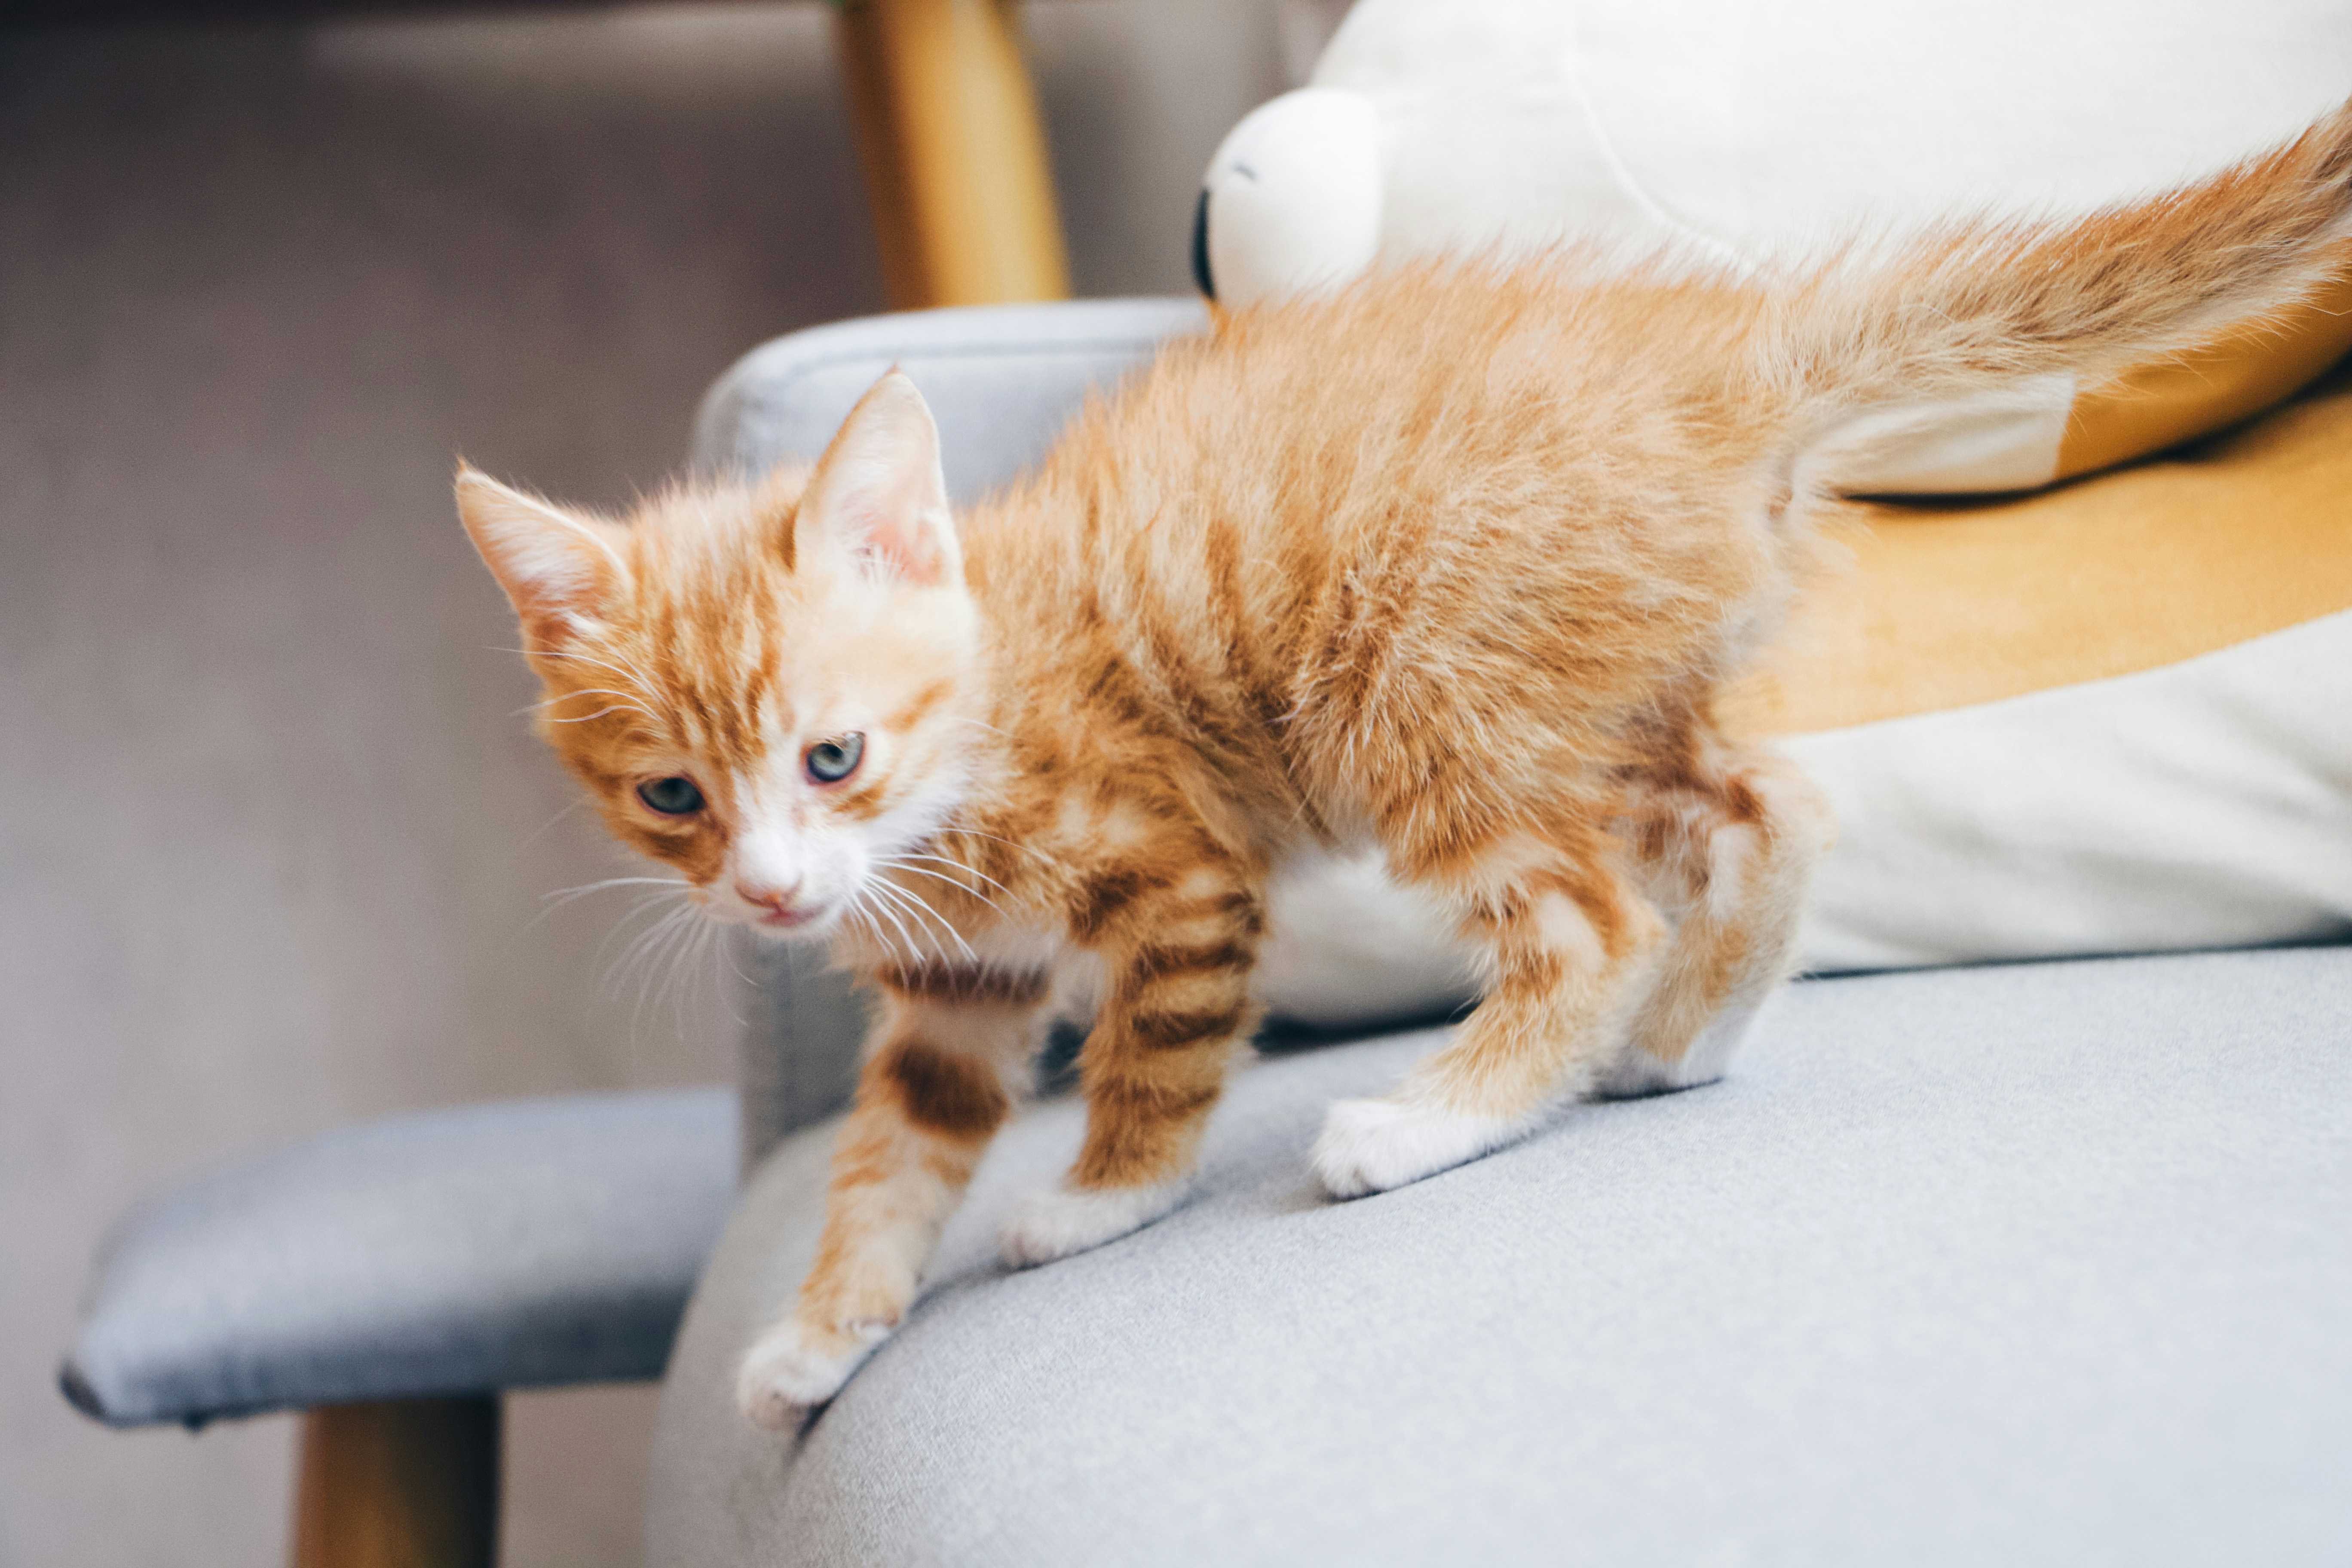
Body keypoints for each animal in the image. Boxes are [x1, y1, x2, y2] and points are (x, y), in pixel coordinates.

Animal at [458, 106, 2352, 1429]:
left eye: (831, 754)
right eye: (674, 799)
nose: (773, 894)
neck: (977, 727)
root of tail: (1711, 368)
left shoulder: (1180, 871)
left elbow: (1154, 1057)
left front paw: (1096, 1204)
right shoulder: (953, 990)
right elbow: (894, 1154)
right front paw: (825, 1327)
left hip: (1420, 686)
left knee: (1591, 919)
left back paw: (1437, 1116)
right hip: (1603, 688)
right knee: (1775, 807)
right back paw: (1682, 1039)